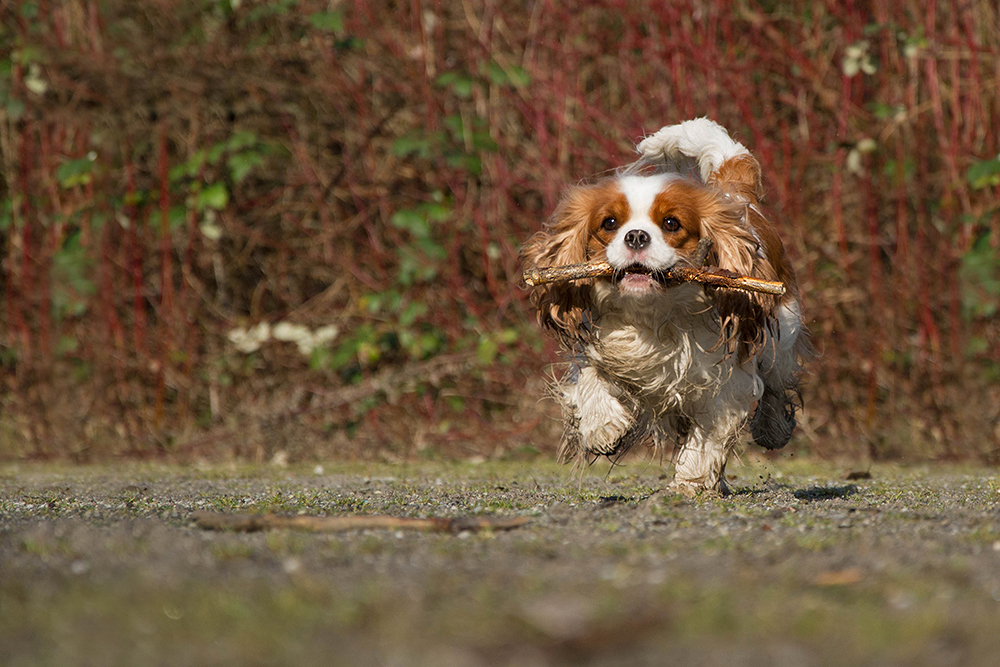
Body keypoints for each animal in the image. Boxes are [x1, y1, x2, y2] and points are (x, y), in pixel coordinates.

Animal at [520, 118, 808, 496]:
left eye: (671, 223)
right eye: (609, 223)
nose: (636, 236)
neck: (654, 314)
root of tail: (733, 194)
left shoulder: (726, 383)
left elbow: (708, 439)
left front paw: (690, 482)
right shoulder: (600, 349)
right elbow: (590, 379)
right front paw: (603, 428)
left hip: (783, 333)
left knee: (775, 383)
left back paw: (772, 429)